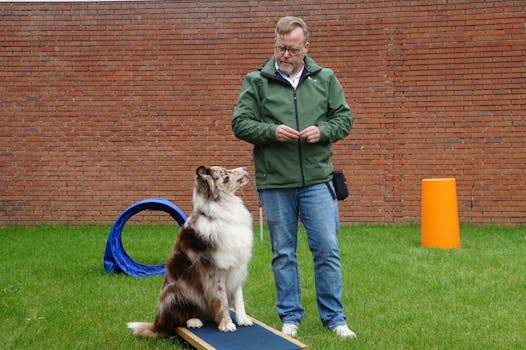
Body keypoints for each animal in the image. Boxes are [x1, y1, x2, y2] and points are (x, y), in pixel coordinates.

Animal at [126, 165, 254, 338]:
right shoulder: (215, 268)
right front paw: (227, 323)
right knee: (177, 319)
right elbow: (221, 298)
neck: (224, 205)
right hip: (175, 290)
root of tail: (157, 323)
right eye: (225, 172)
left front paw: (243, 319)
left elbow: (239, 297)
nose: (246, 167)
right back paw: (193, 321)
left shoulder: (237, 265)